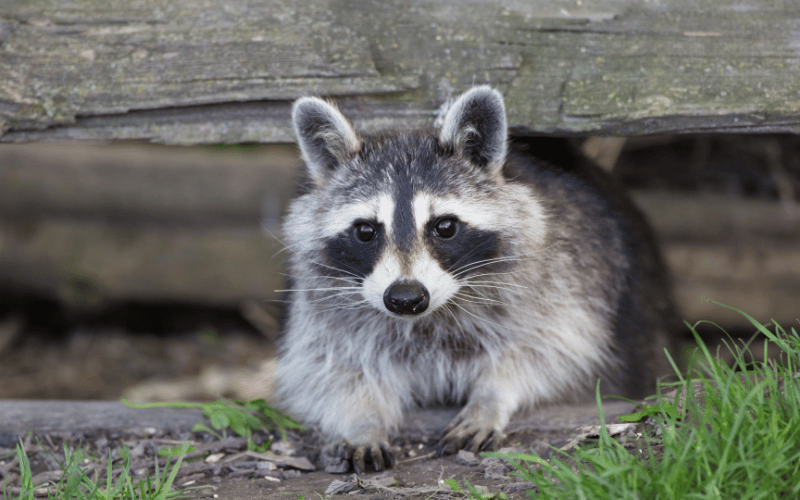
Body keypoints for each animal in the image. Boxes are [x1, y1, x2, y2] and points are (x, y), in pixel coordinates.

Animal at [278, 86, 680, 472]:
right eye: (365, 231)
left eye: (444, 227)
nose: (406, 298)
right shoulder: (326, 307)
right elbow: (331, 369)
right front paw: (362, 420)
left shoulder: (564, 280)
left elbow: (548, 352)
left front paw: (492, 396)